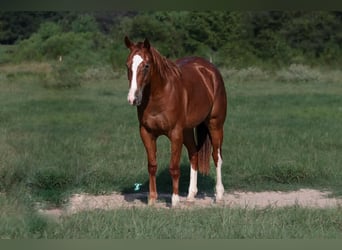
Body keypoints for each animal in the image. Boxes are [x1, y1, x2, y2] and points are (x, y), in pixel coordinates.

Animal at [123, 35, 227, 207]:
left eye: (146, 65)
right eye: (128, 65)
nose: (133, 98)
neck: (160, 95)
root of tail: (210, 70)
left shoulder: (175, 134)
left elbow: (174, 168)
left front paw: (175, 200)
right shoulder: (146, 133)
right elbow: (152, 165)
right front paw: (152, 199)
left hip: (215, 125)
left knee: (217, 157)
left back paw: (219, 195)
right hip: (187, 131)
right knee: (194, 154)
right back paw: (191, 195)